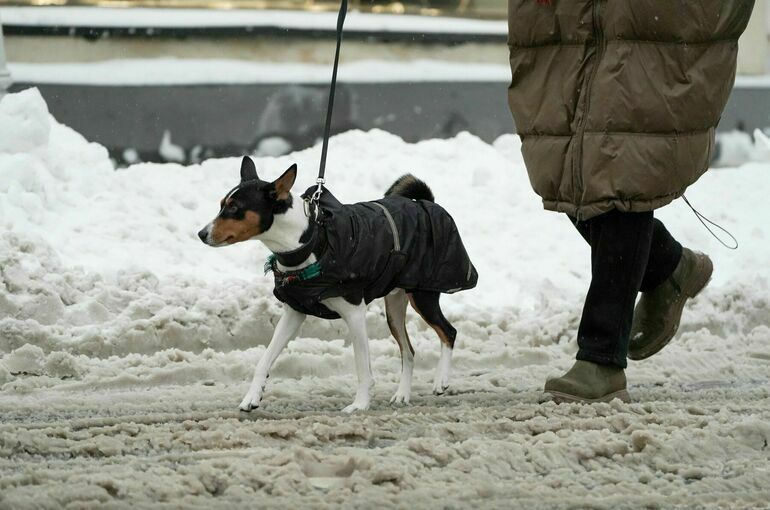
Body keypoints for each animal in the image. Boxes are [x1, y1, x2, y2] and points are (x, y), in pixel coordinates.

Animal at [198, 157, 474, 412]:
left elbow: (363, 368)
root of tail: (426, 202)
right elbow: (264, 360)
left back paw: (441, 380)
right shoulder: (294, 312)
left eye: (235, 207)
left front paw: (360, 404)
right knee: (409, 351)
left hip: (422, 295)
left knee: (448, 332)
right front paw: (252, 397)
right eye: (222, 205)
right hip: (394, 307)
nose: (201, 234)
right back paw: (402, 394)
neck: (310, 241)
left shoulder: (354, 313)